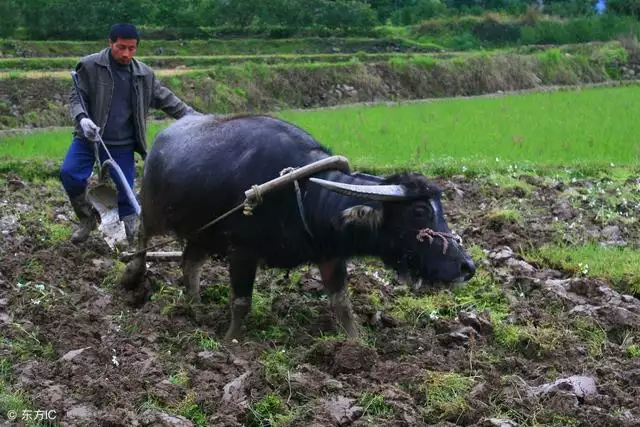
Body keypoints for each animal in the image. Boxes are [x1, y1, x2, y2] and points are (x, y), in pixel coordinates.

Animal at [122, 113, 478, 342]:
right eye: (419, 211)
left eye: (440, 208)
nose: (467, 267)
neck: (303, 195)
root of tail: (161, 141)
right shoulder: (242, 253)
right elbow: (241, 303)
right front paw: (230, 343)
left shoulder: (330, 255)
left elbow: (342, 304)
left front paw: (357, 342)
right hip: (153, 211)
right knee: (141, 236)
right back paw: (133, 275)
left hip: (202, 233)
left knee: (190, 263)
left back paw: (195, 308)